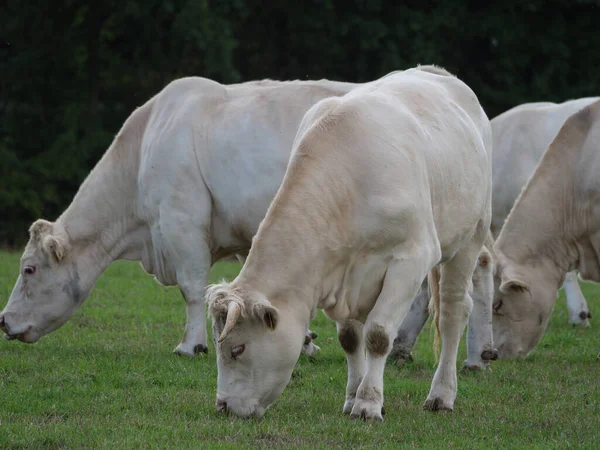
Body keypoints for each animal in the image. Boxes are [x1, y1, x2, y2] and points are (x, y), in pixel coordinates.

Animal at [0, 75, 358, 356]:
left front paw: (191, 345)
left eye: (29, 269)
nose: (3, 320)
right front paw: (305, 342)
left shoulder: (180, 220)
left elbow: (192, 286)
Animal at [204, 65, 490, 420]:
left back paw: (442, 394)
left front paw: (368, 403)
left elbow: (378, 335)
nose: (223, 406)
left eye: (238, 348)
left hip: (470, 238)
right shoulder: (341, 271)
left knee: (452, 313)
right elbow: (351, 338)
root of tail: (437, 72)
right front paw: (353, 396)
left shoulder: (411, 258)